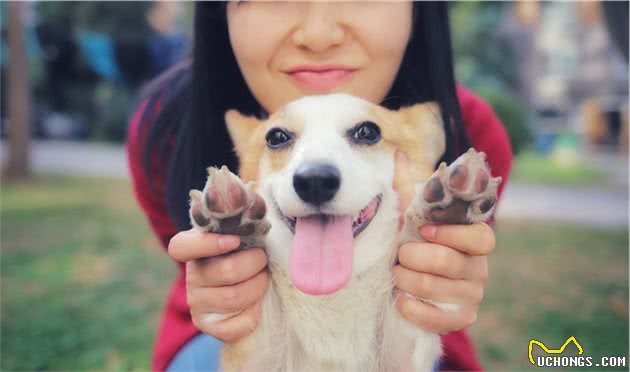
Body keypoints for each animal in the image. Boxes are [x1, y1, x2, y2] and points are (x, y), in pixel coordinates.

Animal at [189, 93, 504, 372]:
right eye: (276, 137)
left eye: (367, 132)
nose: (315, 180)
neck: (334, 292)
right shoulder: (256, 354)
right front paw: (234, 223)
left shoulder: (401, 350)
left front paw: (447, 209)